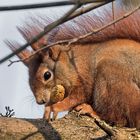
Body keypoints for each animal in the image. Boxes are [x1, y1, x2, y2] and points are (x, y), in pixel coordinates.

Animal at [6, 0, 140, 129]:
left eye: (47, 75)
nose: (40, 101)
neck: (72, 64)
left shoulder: (84, 81)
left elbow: (77, 97)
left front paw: (54, 107)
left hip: (111, 75)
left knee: (120, 118)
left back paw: (91, 111)